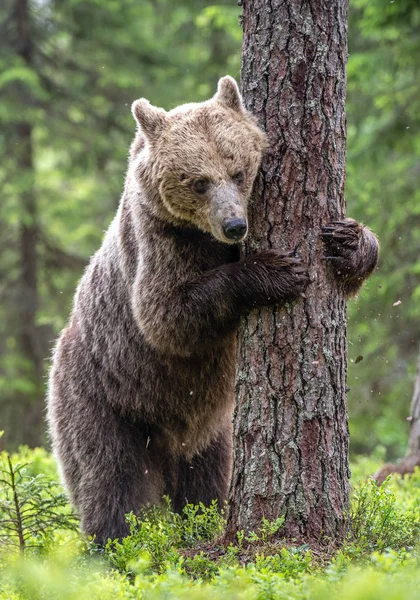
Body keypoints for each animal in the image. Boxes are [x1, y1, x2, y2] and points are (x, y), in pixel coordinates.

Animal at [47, 75, 378, 544]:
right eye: (198, 181)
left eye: (238, 172)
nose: (235, 225)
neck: (207, 238)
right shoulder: (161, 242)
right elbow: (167, 315)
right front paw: (276, 270)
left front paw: (348, 241)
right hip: (102, 397)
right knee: (111, 478)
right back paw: (119, 542)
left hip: (213, 431)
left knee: (209, 480)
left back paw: (206, 517)